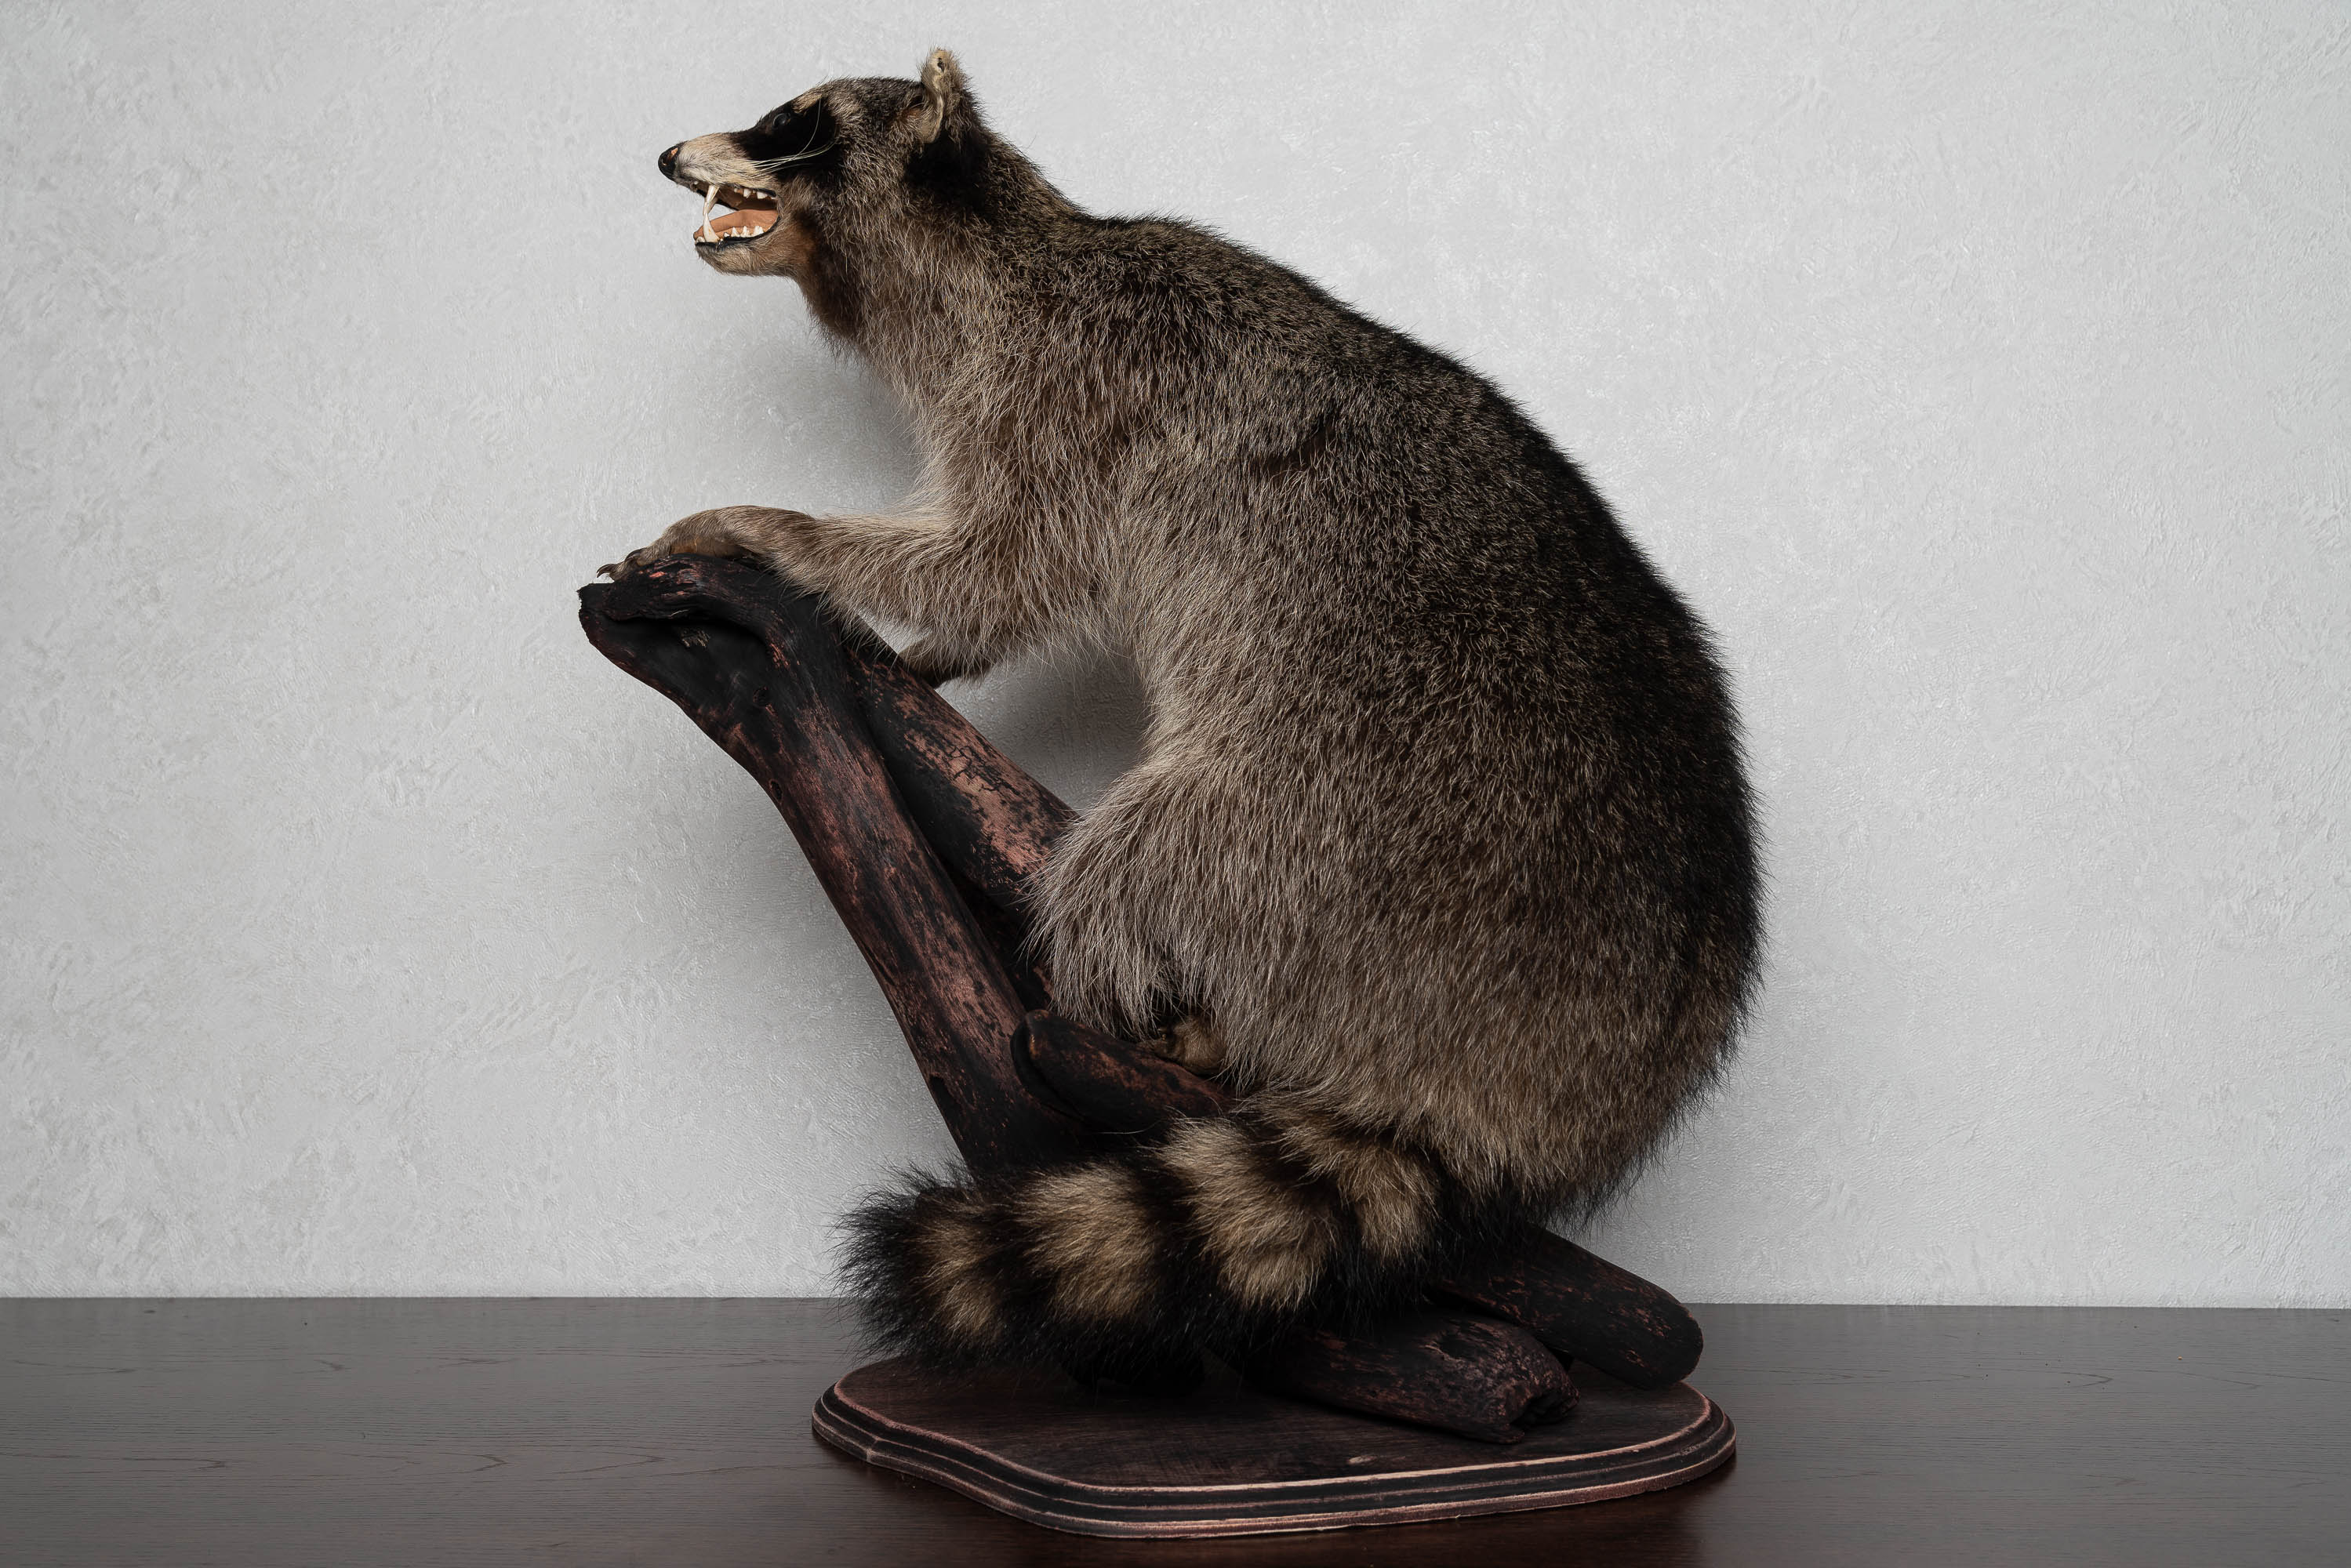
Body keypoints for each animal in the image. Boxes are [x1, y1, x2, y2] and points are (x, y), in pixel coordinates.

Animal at [609, 50, 1760, 1387]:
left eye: (789, 128)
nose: (666, 154)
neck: (991, 253)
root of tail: (1578, 1067)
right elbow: (994, 591)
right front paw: (925, 654)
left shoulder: (1065, 398)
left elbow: (993, 564)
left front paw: (780, 536)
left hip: (1335, 823)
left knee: (1133, 857)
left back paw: (1141, 1019)